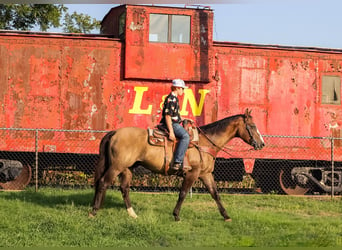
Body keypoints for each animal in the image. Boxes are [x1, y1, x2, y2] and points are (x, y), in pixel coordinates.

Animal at [88, 108, 264, 222]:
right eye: (252, 126)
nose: (262, 144)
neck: (205, 142)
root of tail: (114, 133)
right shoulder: (192, 173)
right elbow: (183, 193)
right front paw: (176, 215)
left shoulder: (205, 174)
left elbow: (215, 194)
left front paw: (226, 216)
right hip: (116, 166)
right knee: (103, 182)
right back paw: (94, 212)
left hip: (127, 169)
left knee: (124, 188)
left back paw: (132, 214)